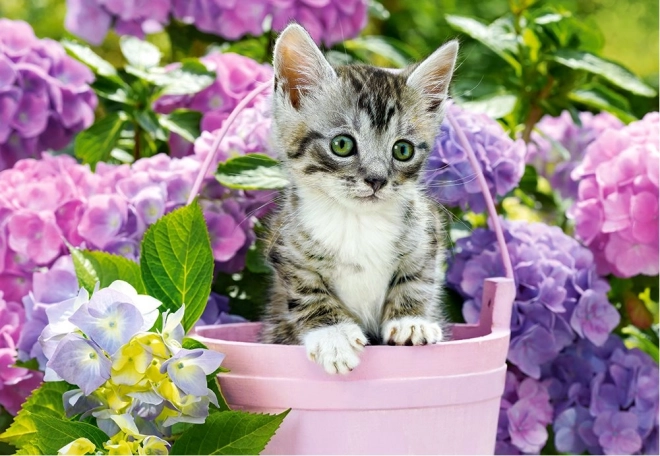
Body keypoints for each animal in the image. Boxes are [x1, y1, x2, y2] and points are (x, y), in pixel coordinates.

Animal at [260, 23, 458, 376]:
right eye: (342, 145)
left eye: (403, 149)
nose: (377, 179)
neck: (357, 221)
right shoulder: (286, 249)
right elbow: (307, 292)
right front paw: (333, 336)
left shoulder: (427, 232)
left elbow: (419, 277)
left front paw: (411, 321)